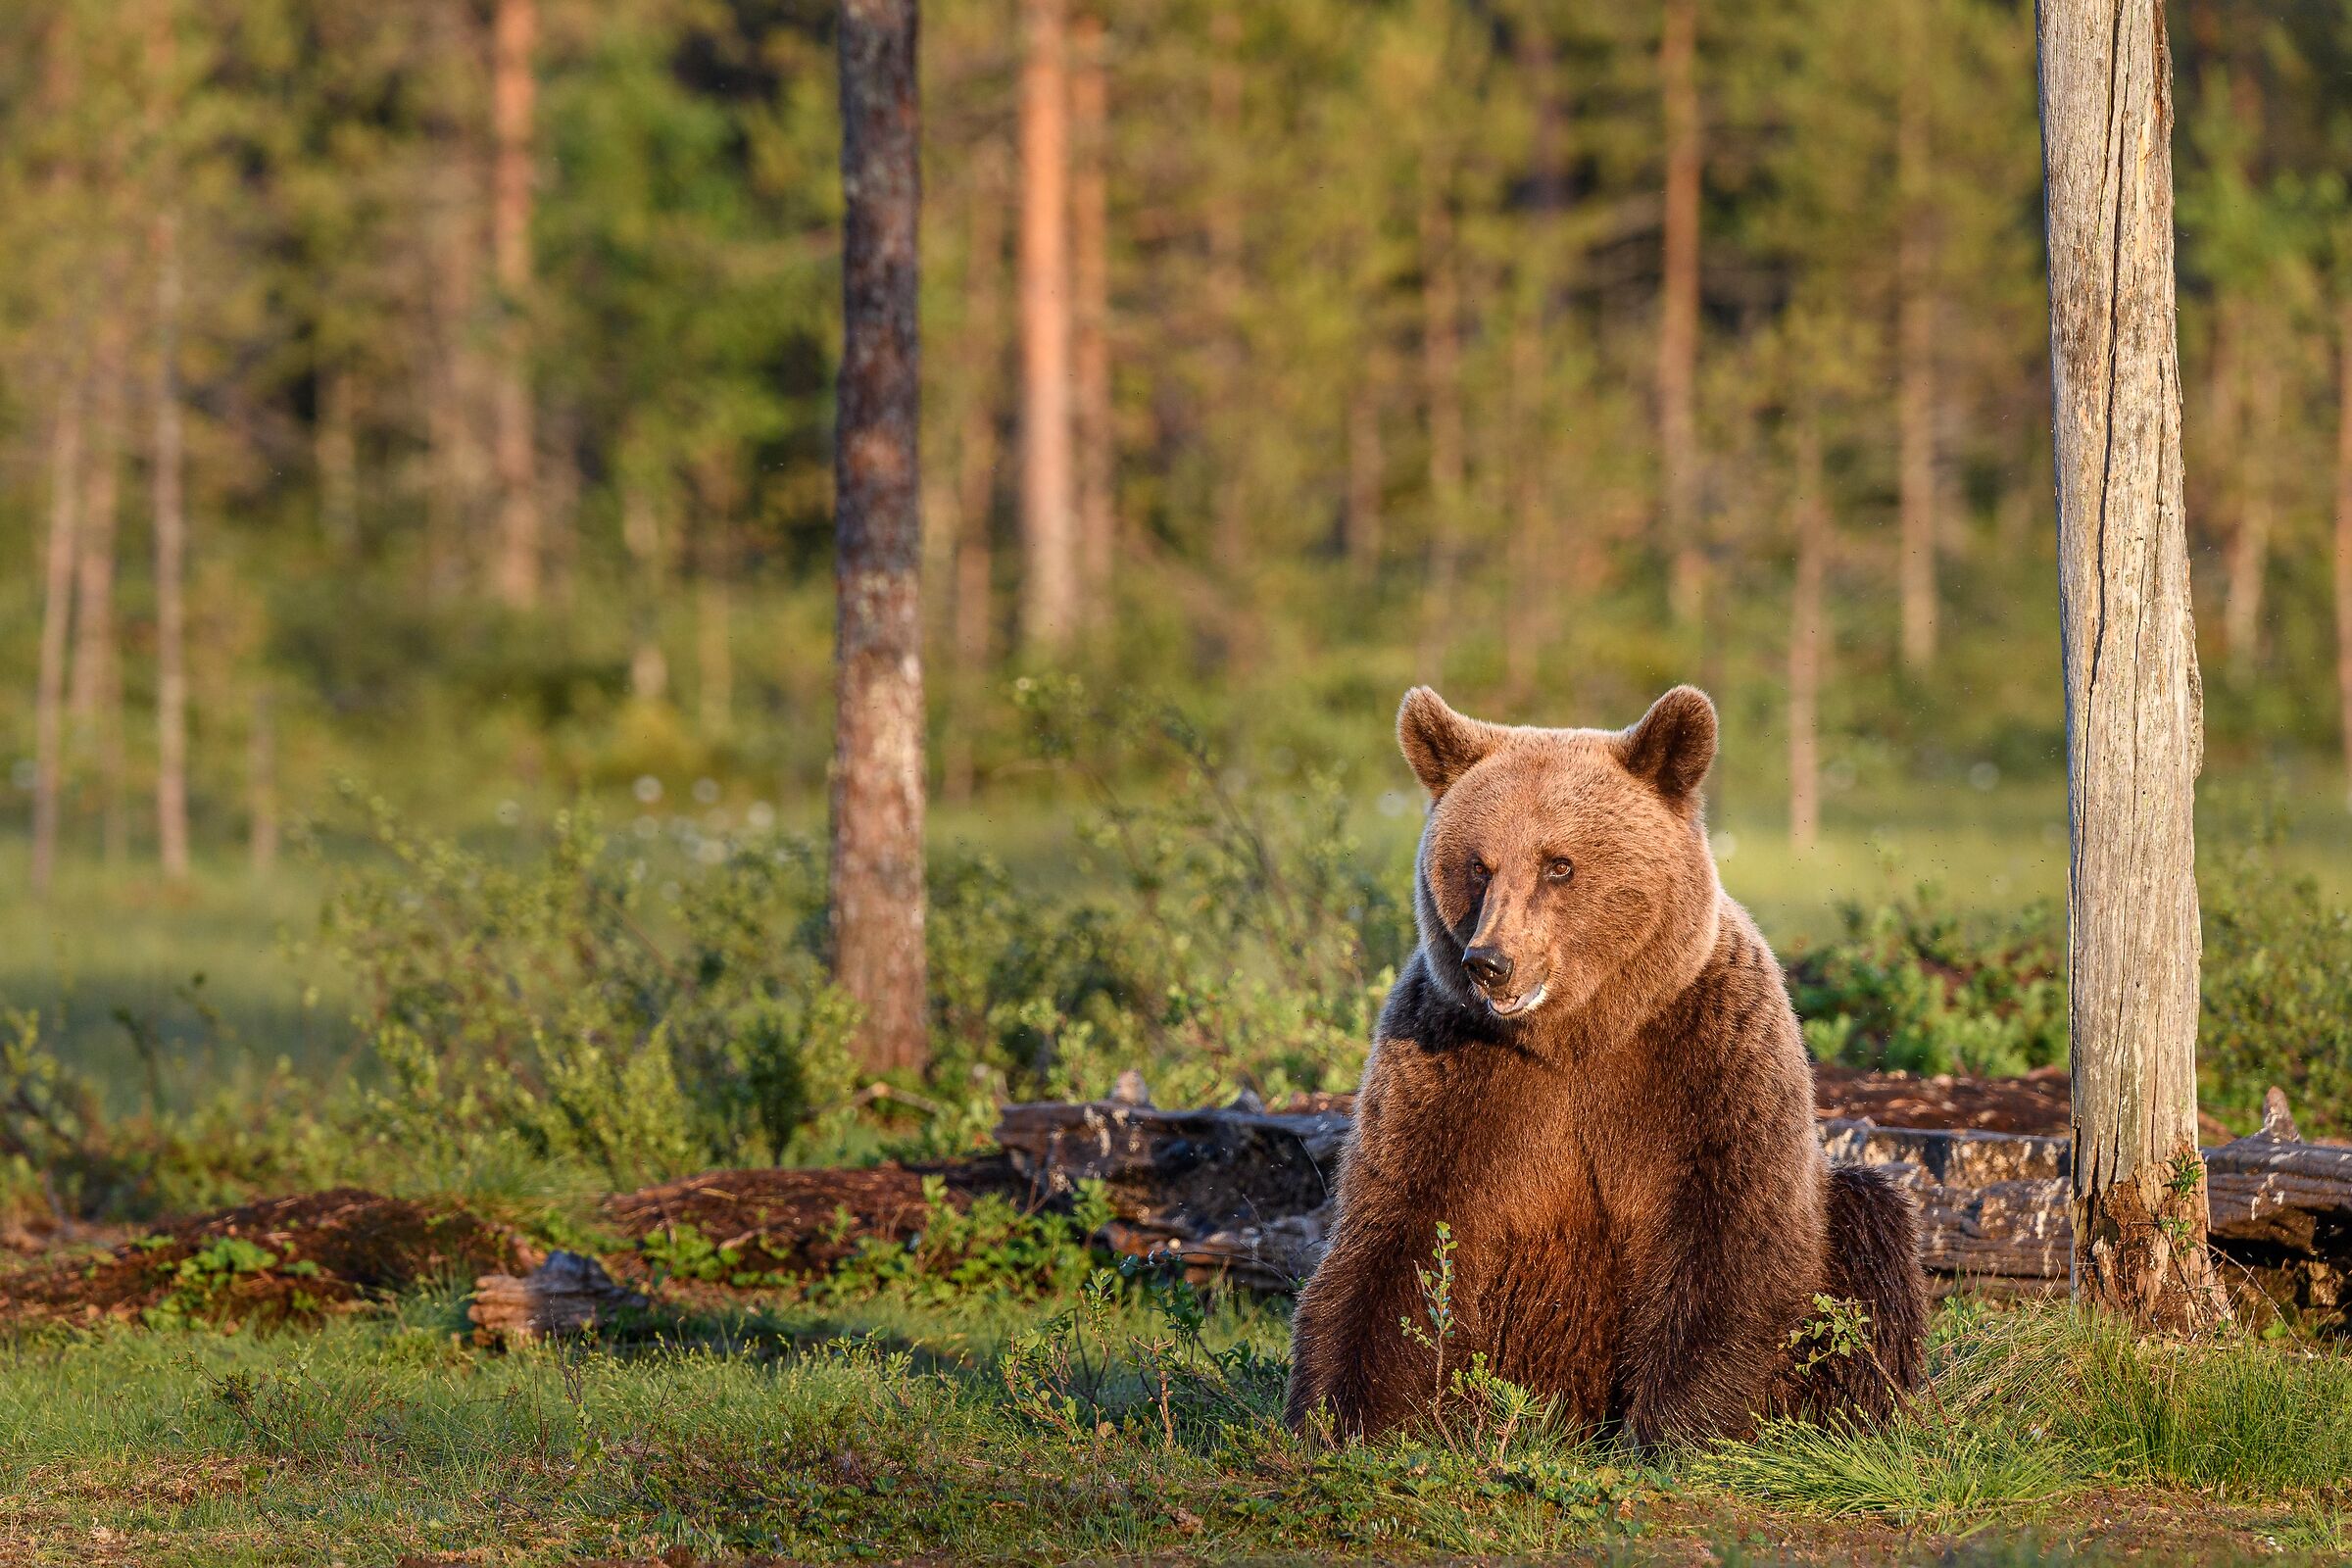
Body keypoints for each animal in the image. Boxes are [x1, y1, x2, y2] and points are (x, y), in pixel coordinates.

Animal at [1284, 684, 1926, 1447]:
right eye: (1478, 864)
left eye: (1558, 864)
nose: (1490, 962)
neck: (1575, 1035)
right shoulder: (1448, 1069)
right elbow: (1397, 1230)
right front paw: (1338, 1413)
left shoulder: (1709, 1055)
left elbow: (1731, 1237)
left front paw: (1674, 1426)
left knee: (1870, 1227)